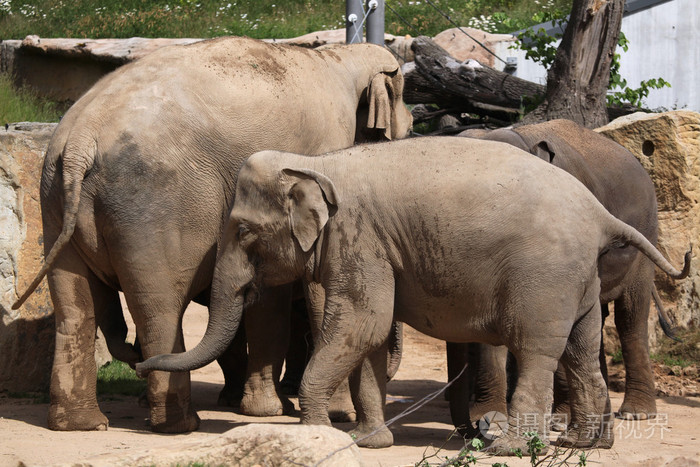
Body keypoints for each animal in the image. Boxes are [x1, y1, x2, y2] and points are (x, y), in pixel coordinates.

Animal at [12, 36, 412, 433]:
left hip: (54, 198)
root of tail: (80, 140)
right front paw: (328, 414)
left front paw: (265, 408)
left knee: (74, 307)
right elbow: (313, 292)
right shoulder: (325, 141)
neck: (338, 57)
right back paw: (179, 423)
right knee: (159, 307)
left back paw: (82, 424)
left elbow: (270, 296)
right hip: (153, 206)